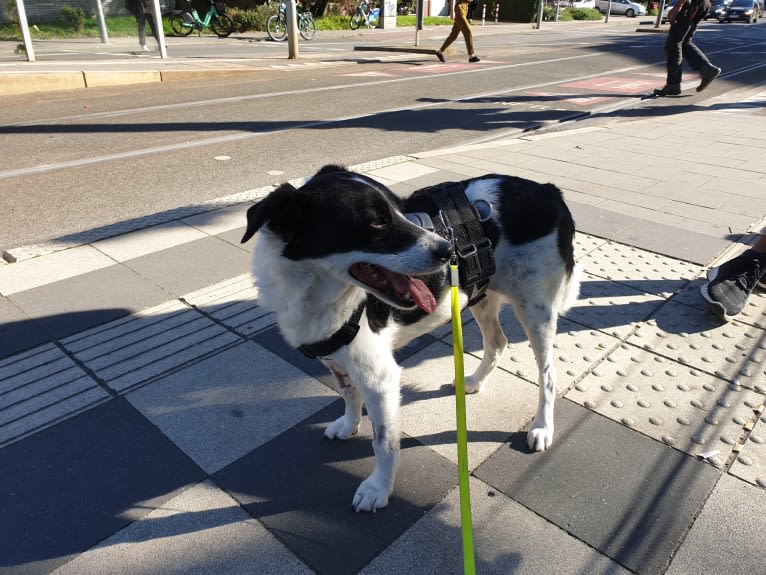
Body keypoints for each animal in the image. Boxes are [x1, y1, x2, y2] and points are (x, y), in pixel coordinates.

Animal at [242, 165, 584, 512]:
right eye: (376, 222)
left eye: (399, 208)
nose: (448, 251)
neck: (315, 289)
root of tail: (547, 189)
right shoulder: (336, 359)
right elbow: (348, 394)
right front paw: (349, 424)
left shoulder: (380, 378)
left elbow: (383, 441)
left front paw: (378, 488)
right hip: (481, 293)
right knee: (497, 342)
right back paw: (474, 381)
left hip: (536, 307)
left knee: (548, 373)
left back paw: (541, 426)